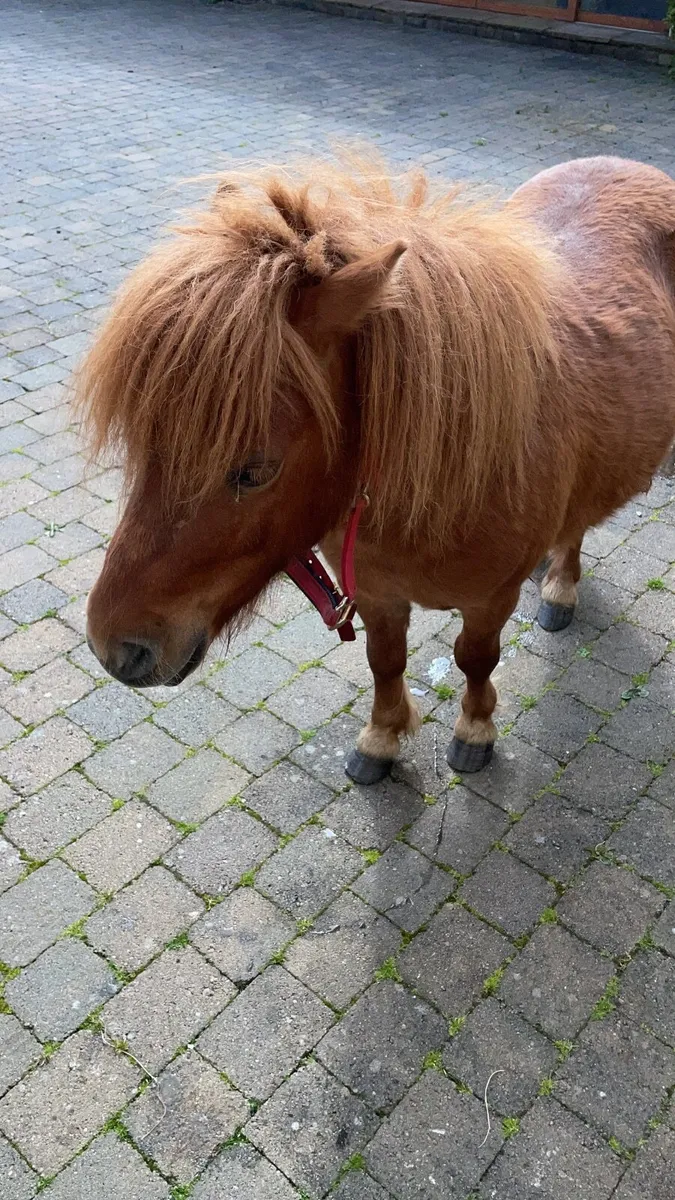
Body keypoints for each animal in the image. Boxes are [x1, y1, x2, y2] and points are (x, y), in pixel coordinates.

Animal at [79, 153, 675, 785]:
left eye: (254, 471)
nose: (115, 649)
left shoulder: (489, 601)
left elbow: (475, 659)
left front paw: (475, 730)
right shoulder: (375, 592)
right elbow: (384, 660)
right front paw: (382, 738)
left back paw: (560, 586)